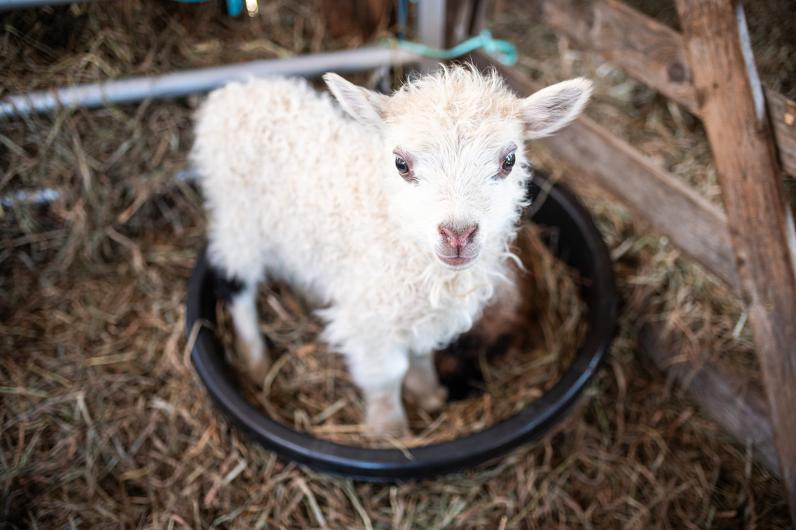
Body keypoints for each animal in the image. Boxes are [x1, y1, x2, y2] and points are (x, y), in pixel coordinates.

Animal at [192, 65, 591, 437]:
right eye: (401, 164)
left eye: (509, 161)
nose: (457, 235)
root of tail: (236, 89)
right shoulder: (372, 314)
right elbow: (385, 375)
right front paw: (390, 430)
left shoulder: (423, 311)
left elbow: (420, 353)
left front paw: (428, 394)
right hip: (239, 218)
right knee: (234, 283)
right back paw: (255, 361)